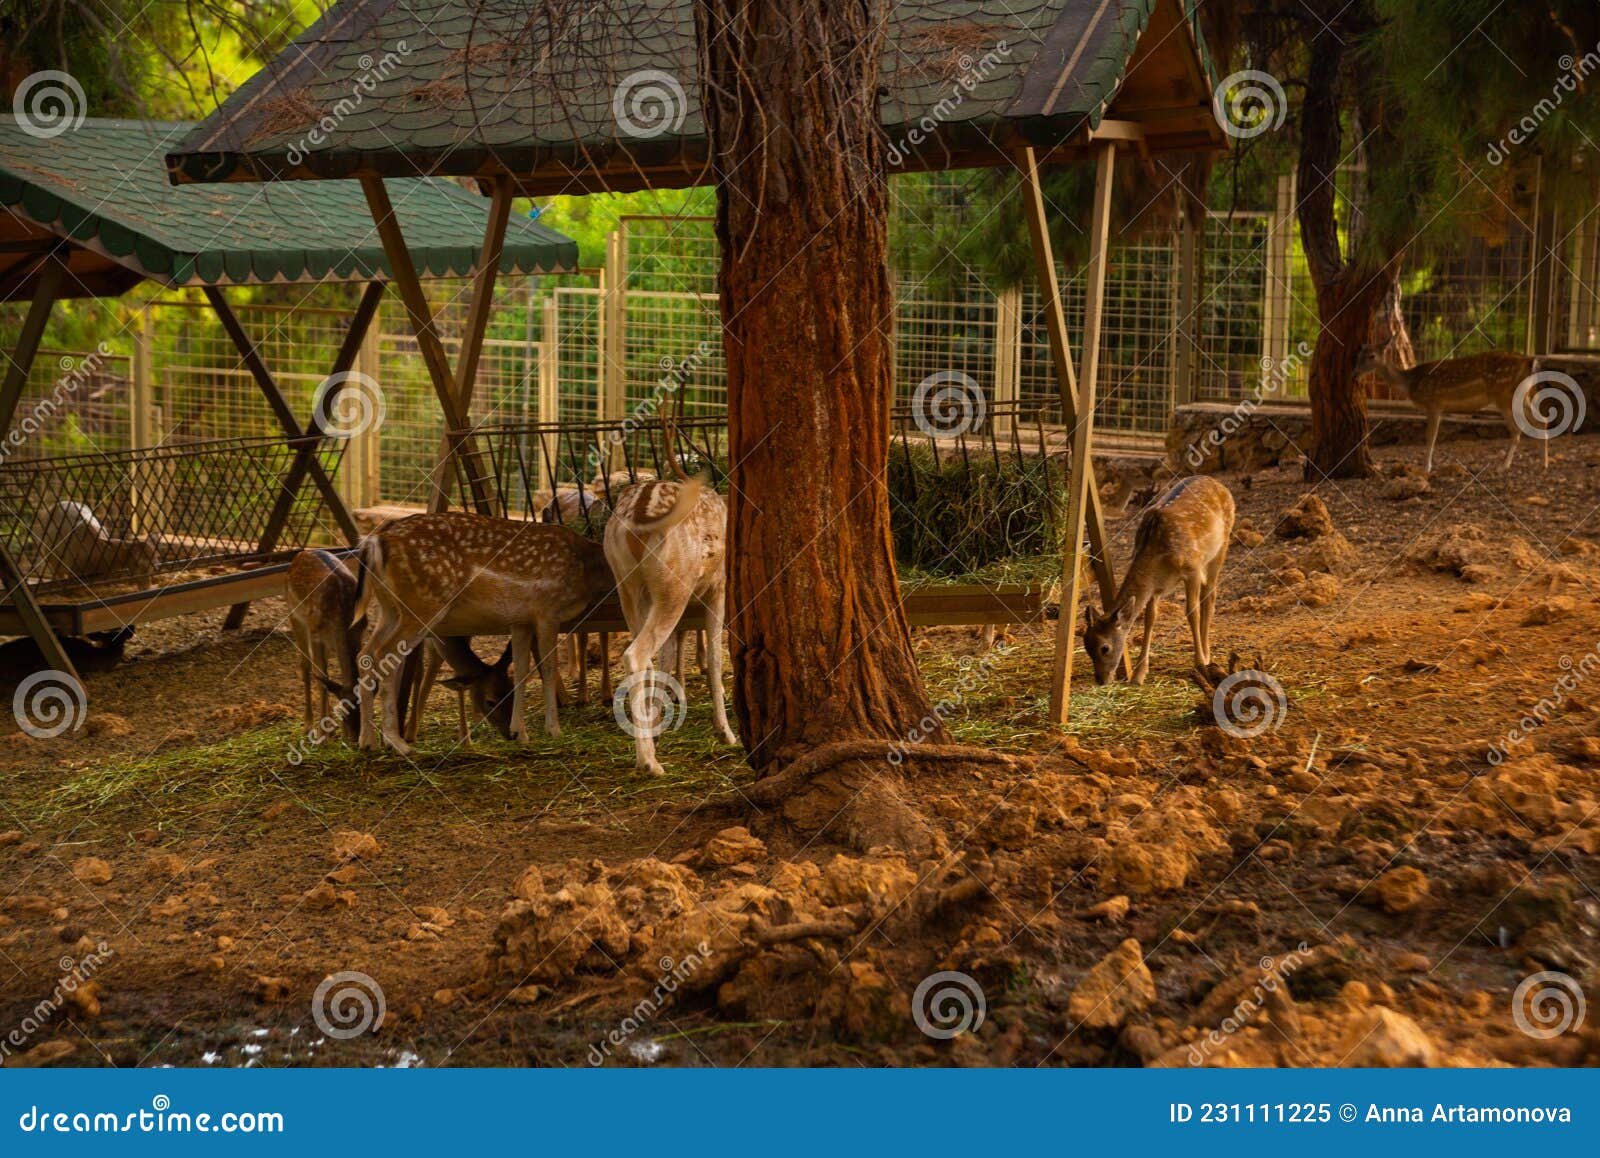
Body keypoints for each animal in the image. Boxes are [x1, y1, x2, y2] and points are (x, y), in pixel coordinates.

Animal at [284, 549, 364, 742]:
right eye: (344, 710)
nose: (354, 738)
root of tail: (300, 554)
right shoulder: (316, 635)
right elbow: (321, 678)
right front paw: (322, 735)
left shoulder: (359, 633)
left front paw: (331, 730)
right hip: (295, 616)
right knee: (305, 666)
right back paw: (308, 726)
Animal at [353, 512, 615, 755]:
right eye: (489, 701)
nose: (508, 734)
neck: (586, 569)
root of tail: (377, 539)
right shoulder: (547, 612)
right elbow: (548, 669)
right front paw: (554, 730)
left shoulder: (522, 620)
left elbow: (521, 670)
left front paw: (520, 733)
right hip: (424, 603)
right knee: (383, 654)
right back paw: (398, 743)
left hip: (390, 608)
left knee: (365, 654)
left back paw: (367, 742)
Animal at [603, 475, 737, 775]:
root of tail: (638, 513)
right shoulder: (719, 588)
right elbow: (716, 659)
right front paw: (726, 732)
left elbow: (667, 655)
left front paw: (658, 725)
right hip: (675, 583)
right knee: (635, 654)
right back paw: (649, 762)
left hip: (627, 585)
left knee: (646, 656)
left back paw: (649, 738)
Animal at [1082, 476, 1235, 686]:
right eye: (1086, 646)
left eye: (1104, 648)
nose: (1101, 680)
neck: (1158, 559)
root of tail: (1217, 482)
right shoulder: (1155, 586)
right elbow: (1150, 619)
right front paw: (1138, 675)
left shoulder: (1193, 569)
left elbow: (1192, 612)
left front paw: (1199, 664)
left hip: (1222, 545)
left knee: (1210, 597)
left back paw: (1206, 655)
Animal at [1355, 344, 1545, 472]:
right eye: (1359, 354)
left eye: (1372, 355)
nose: (1355, 373)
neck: (1409, 383)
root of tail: (1529, 360)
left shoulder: (1434, 403)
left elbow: (1430, 437)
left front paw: (1426, 468)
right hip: (1522, 393)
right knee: (1539, 419)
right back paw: (1544, 463)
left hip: (1505, 396)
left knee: (1518, 430)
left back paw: (1503, 466)